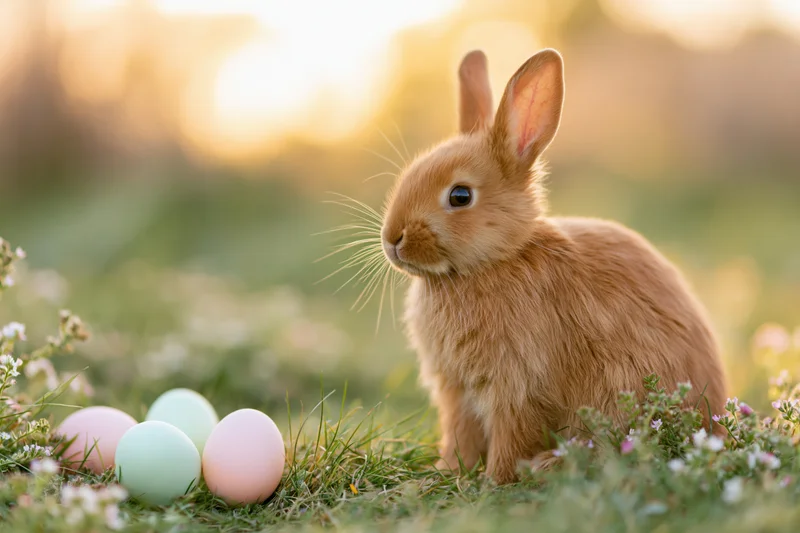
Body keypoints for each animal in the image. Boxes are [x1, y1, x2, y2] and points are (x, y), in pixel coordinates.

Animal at [378, 48, 729, 485]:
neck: (492, 262)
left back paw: (546, 466)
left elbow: (511, 435)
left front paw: (493, 482)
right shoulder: (456, 391)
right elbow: (460, 435)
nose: (392, 238)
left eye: (460, 195)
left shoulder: (518, 384)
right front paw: (446, 473)